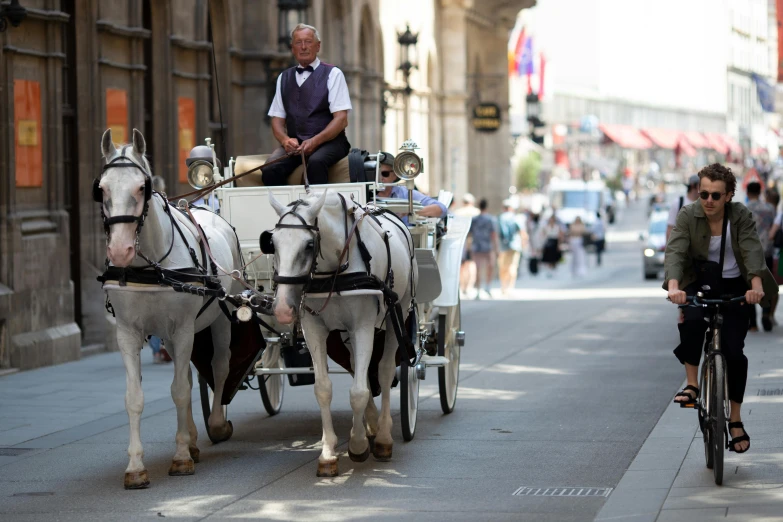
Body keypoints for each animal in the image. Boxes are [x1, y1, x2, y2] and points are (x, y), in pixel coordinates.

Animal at [97, 127, 240, 488]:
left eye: (141, 187)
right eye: (102, 188)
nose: (119, 251)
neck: (150, 267)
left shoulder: (184, 327)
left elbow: (179, 391)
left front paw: (180, 458)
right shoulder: (128, 333)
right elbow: (135, 397)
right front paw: (136, 466)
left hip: (220, 318)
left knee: (219, 366)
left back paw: (215, 425)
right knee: (187, 375)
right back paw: (191, 440)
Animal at [268, 189, 420, 474]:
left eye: (309, 245)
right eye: (272, 242)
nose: (282, 309)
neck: (335, 271)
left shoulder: (363, 326)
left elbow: (358, 392)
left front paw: (358, 445)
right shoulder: (314, 328)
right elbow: (324, 389)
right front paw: (328, 453)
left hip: (399, 314)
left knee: (384, 371)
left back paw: (383, 436)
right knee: (357, 367)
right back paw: (370, 423)